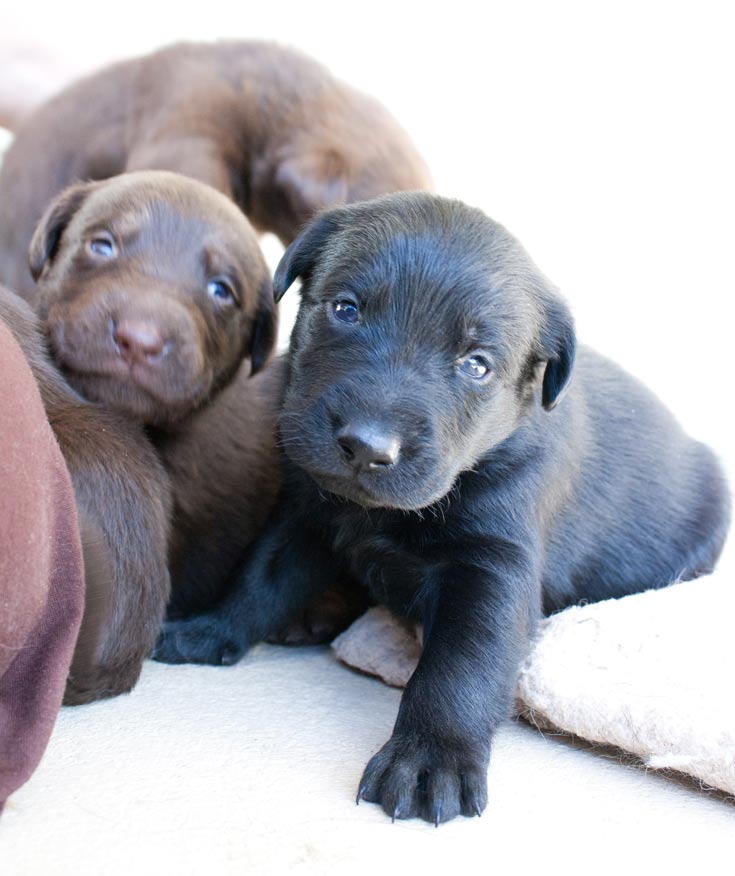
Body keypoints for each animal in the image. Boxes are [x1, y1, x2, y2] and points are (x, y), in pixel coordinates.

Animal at [155, 192, 732, 820]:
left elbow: (460, 667)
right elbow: (259, 580)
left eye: (476, 364)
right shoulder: (305, 516)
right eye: (346, 309)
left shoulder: (492, 569)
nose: (367, 446)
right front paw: (207, 630)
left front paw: (429, 758)